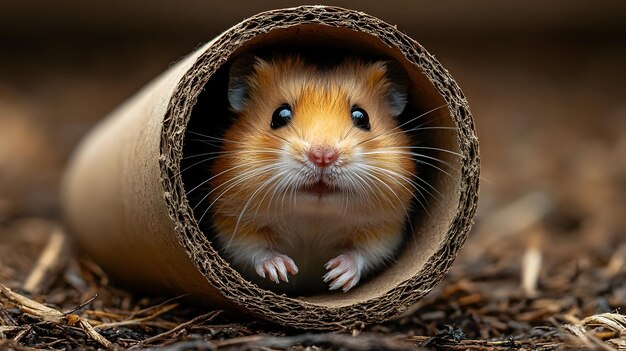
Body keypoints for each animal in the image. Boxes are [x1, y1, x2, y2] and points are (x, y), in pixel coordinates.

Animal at [207, 55, 416, 294]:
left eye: (362, 116)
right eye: (280, 115)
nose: (323, 156)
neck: (314, 216)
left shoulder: (385, 230)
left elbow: (364, 252)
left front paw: (335, 275)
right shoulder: (232, 224)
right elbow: (254, 249)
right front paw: (282, 271)